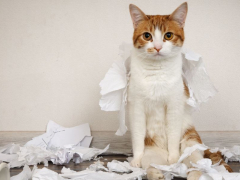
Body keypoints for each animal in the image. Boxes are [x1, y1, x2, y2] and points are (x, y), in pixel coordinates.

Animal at [127, 2, 232, 179]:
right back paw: (158, 173)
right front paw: (136, 159)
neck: (157, 73)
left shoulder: (174, 106)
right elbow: (137, 136)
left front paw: (174, 157)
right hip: (153, 155)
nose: (157, 47)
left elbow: (173, 135)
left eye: (168, 35)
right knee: (151, 166)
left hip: (191, 142)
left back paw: (184, 168)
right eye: (147, 36)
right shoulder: (137, 107)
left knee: (195, 166)